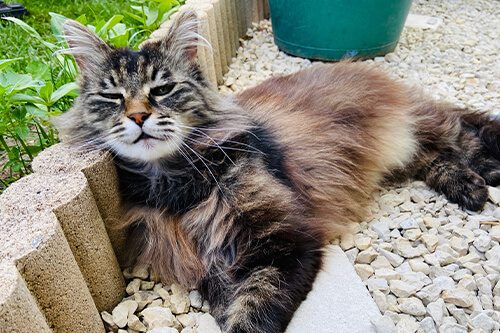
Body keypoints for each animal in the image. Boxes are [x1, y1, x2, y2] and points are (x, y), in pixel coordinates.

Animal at [56, 10, 498, 332]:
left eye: (162, 90)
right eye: (112, 97)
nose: (138, 116)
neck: (175, 183)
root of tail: (360, 66)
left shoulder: (284, 243)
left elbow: (252, 311)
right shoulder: (206, 262)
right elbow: (224, 300)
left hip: (417, 126)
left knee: (466, 130)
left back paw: (486, 170)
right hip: (404, 150)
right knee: (434, 157)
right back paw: (472, 184)